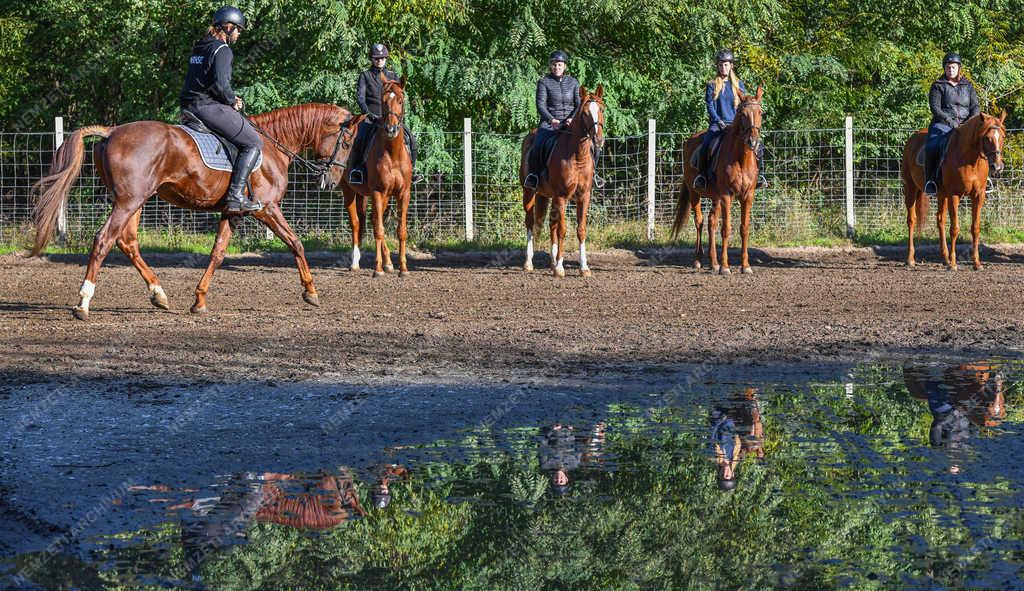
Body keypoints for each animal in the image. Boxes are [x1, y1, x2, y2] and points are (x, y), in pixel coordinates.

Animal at [32, 103, 352, 319]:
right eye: (347, 142)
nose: (333, 180)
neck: (272, 146)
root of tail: (112, 131)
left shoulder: (232, 212)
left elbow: (218, 253)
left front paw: (199, 300)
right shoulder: (266, 208)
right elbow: (295, 243)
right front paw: (311, 292)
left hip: (134, 201)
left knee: (127, 242)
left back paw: (158, 294)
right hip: (128, 201)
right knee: (103, 240)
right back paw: (83, 302)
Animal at [520, 83, 606, 278]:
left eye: (602, 109)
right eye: (585, 113)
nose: (598, 139)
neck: (577, 156)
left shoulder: (583, 197)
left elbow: (580, 230)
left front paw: (584, 267)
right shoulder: (562, 197)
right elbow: (562, 229)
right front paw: (560, 268)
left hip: (549, 196)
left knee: (551, 223)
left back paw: (552, 262)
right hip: (529, 193)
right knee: (530, 223)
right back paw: (529, 263)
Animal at [667, 86, 765, 274]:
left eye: (760, 112)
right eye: (742, 114)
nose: (753, 142)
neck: (741, 158)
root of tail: (689, 140)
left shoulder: (748, 196)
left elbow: (744, 228)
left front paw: (745, 266)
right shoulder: (727, 195)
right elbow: (726, 229)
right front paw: (726, 267)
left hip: (715, 197)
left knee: (711, 221)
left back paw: (713, 263)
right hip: (695, 193)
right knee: (699, 222)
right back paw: (698, 261)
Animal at [901, 111, 1003, 270]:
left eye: (1003, 136)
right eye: (987, 138)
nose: (997, 167)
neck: (970, 160)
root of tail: (912, 139)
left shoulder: (978, 196)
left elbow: (975, 228)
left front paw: (977, 263)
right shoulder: (954, 195)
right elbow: (955, 229)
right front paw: (954, 264)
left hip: (942, 195)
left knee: (940, 220)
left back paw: (945, 258)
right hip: (911, 188)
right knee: (911, 220)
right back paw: (910, 259)